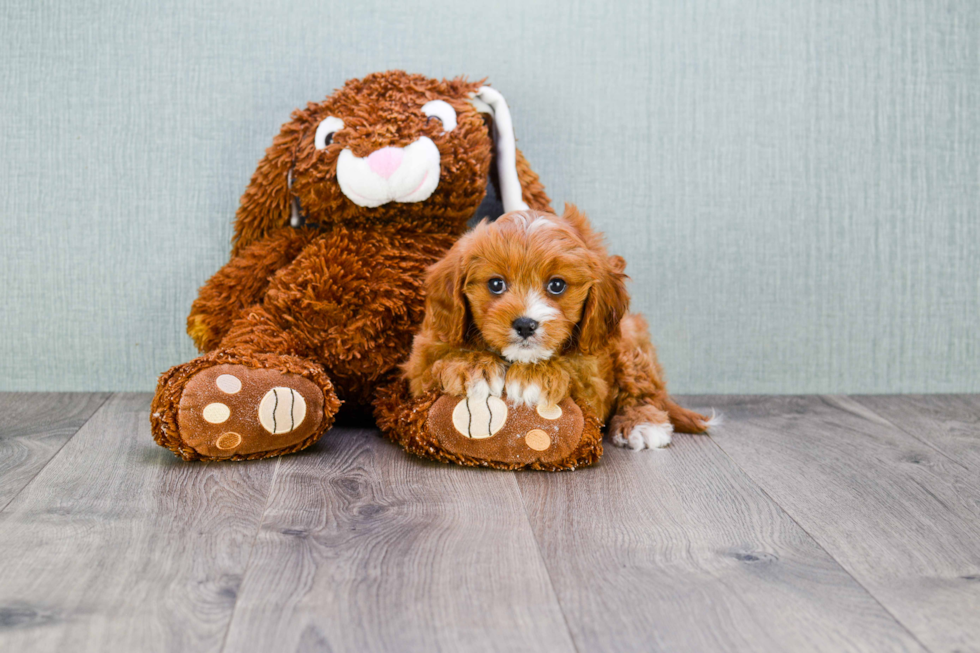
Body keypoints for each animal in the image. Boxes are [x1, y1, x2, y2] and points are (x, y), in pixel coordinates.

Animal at [404, 205, 712, 448]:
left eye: (557, 285)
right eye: (495, 284)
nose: (525, 325)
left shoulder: (594, 378)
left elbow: (571, 370)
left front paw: (531, 377)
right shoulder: (423, 361)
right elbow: (437, 365)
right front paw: (474, 366)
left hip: (630, 342)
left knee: (644, 387)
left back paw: (643, 424)